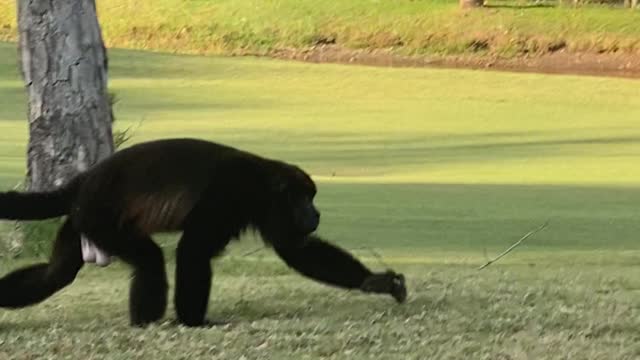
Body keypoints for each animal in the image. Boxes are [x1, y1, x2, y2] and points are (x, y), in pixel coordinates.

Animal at [0, 137, 408, 326]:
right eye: (305, 199)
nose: (316, 212)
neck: (262, 184)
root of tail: (82, 182)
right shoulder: (228, 194)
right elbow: (193, 249)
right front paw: (194, 321)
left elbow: (296, 249)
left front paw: (375, 282)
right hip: (100, 216)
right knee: (150, 260)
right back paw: (146, 323)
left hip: (82, 221)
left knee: (55, 274)